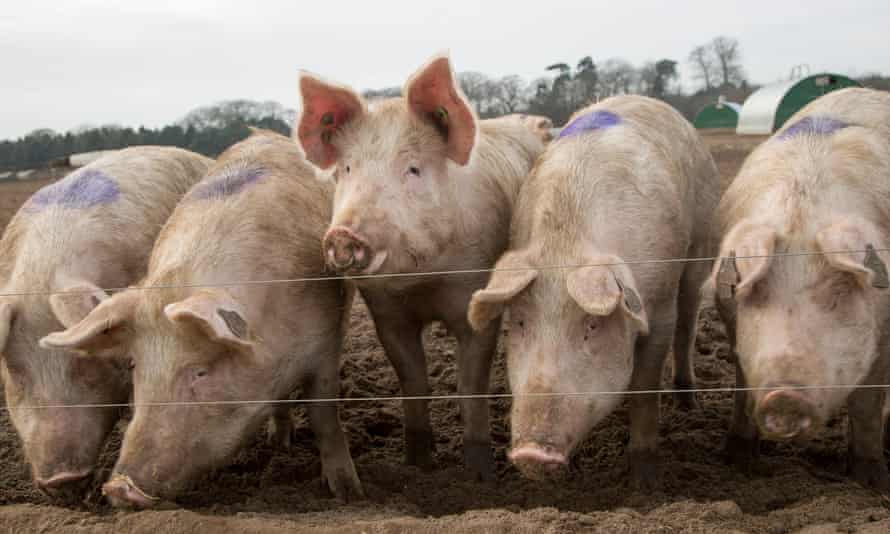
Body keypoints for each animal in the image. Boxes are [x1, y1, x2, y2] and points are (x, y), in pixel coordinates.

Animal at [40, 131, 360, 510]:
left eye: (200, 371)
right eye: (134, 365)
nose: (119, 487)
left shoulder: (325, 342)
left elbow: (325, 415)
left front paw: (348, 494)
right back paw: (279, 442)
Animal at [294, 54, 540, 482]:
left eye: (412, 169)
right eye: (346, 169)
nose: (342, 234)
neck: (422, 280)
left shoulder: (474, 297)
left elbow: (470, 385)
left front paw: (480, 477)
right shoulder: (386, 313)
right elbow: (413, 380)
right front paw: (418, 466)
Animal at [468, 95, 720, 490]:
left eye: (592, 325)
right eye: (520, 322)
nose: (531, 453)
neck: (566, 243)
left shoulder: (660, 305)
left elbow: (645, 388)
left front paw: (645, 484)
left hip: (701, 246)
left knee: (689, 319)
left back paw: (688, 402)